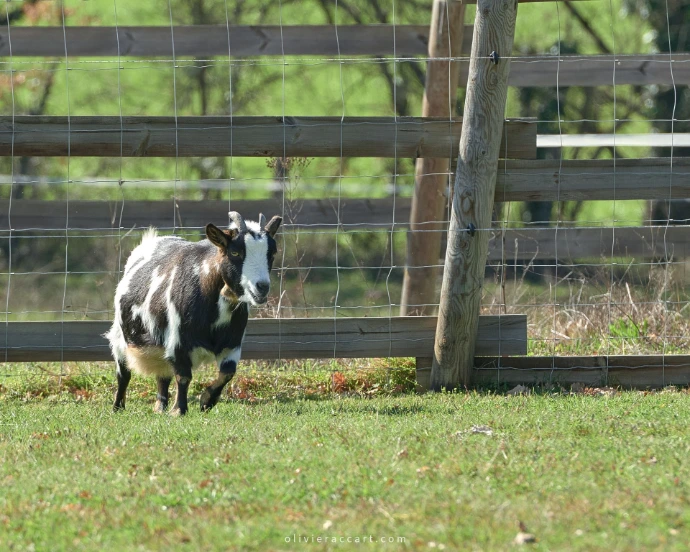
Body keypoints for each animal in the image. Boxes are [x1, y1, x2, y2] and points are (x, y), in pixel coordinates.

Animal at [106, 211, 282, 415]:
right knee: (123, 373)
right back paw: (118, 407)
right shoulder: (178, 341)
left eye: (272, 253)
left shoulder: (232, 343)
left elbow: (227, 373)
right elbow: (183, 376)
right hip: (120, 336)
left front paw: (206, 401)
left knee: (162, 374)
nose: (262, 287)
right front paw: (179, 410)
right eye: (235, 252)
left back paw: (160, 406)